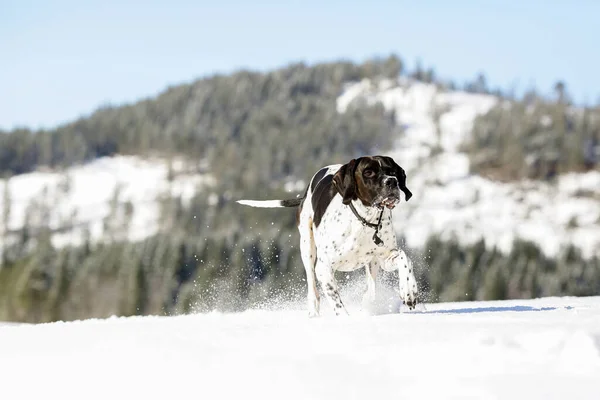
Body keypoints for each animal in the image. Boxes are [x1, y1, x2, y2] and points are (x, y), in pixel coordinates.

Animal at [237, 155, 420, 318]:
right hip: (307, 247)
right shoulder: (324, 268)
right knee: (312, 287)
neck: (364, 220)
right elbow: (336, 300)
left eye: (392, 171)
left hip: (372, 263)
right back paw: (314, 313)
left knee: (371, 286)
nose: (392, 181)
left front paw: (409, 290)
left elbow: (405, 258)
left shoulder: (385, 258)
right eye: (368, 172)